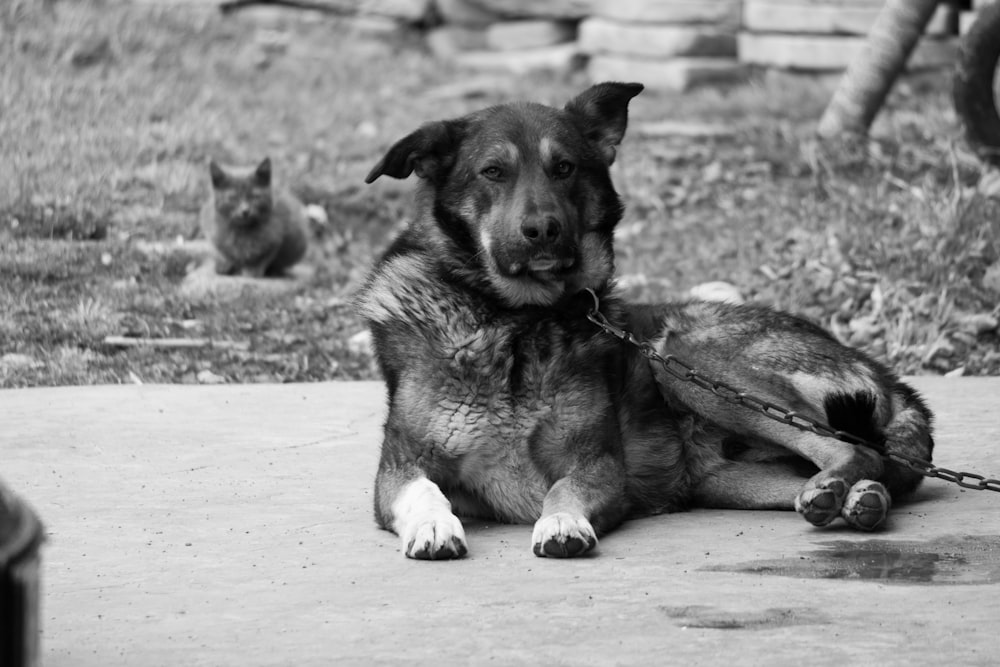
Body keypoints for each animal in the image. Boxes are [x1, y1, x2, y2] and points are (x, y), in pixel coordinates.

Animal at [356, 85, 932, 564]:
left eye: (564, 168)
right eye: (493, 172)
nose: (543, 230)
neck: (516, 318)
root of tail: (892, 381)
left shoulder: (597, 465)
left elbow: (562, 490)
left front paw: (561, 522)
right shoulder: (401, 467)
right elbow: (424, 492)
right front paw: (433, 526)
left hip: (682, 358)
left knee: (854, 449)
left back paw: (842, 491)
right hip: (725, 475)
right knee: (856, 468)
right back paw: (857, 498)